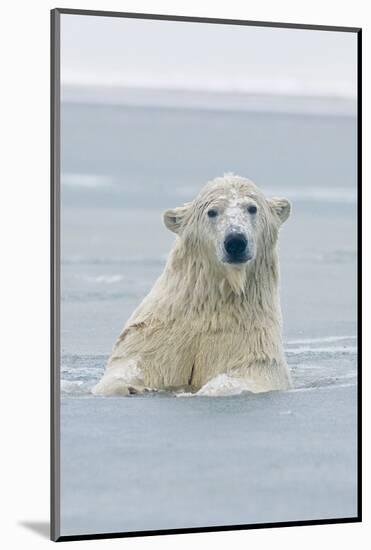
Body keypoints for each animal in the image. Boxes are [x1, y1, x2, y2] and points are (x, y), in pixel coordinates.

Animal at [93, 175, 294, 398]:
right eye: (212, 211)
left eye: (252, 208)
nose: (235, 241)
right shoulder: (157, 332)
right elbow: (134, 362)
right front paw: (129, 387)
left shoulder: (251, 339)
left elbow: (249, 372)